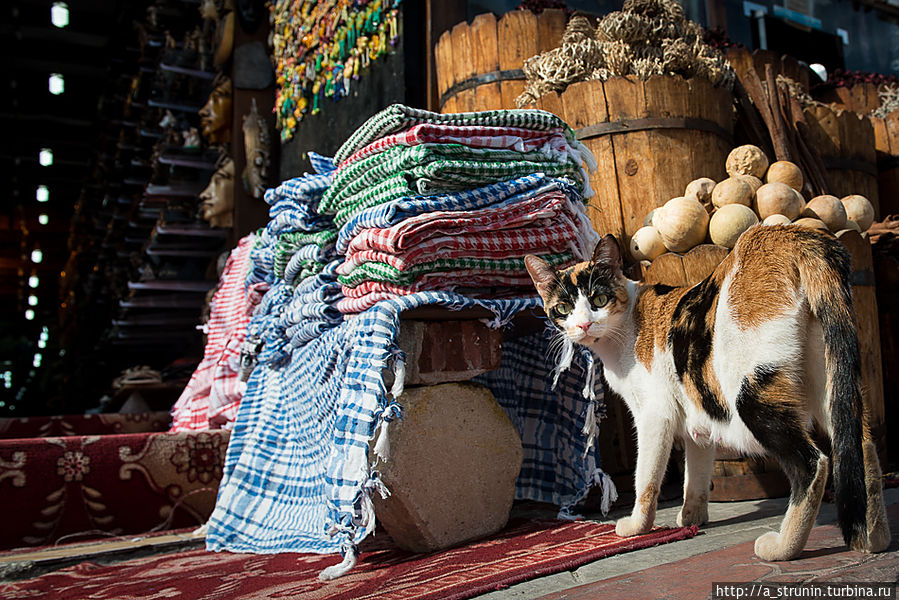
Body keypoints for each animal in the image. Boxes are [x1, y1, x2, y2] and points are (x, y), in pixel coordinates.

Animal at [532, 226, 888, 564]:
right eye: (563, 308)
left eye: (598, 299)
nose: (583, 325)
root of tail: (786, 236)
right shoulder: (697, 412)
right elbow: (696, 473)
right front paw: (692, 516)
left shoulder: (654, 415)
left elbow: (645, 476)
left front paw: (637, 526)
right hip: (832, 383)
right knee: (860, 446)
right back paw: (873, 539)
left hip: (751, 394)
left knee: (812, 463)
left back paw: (783, 548)